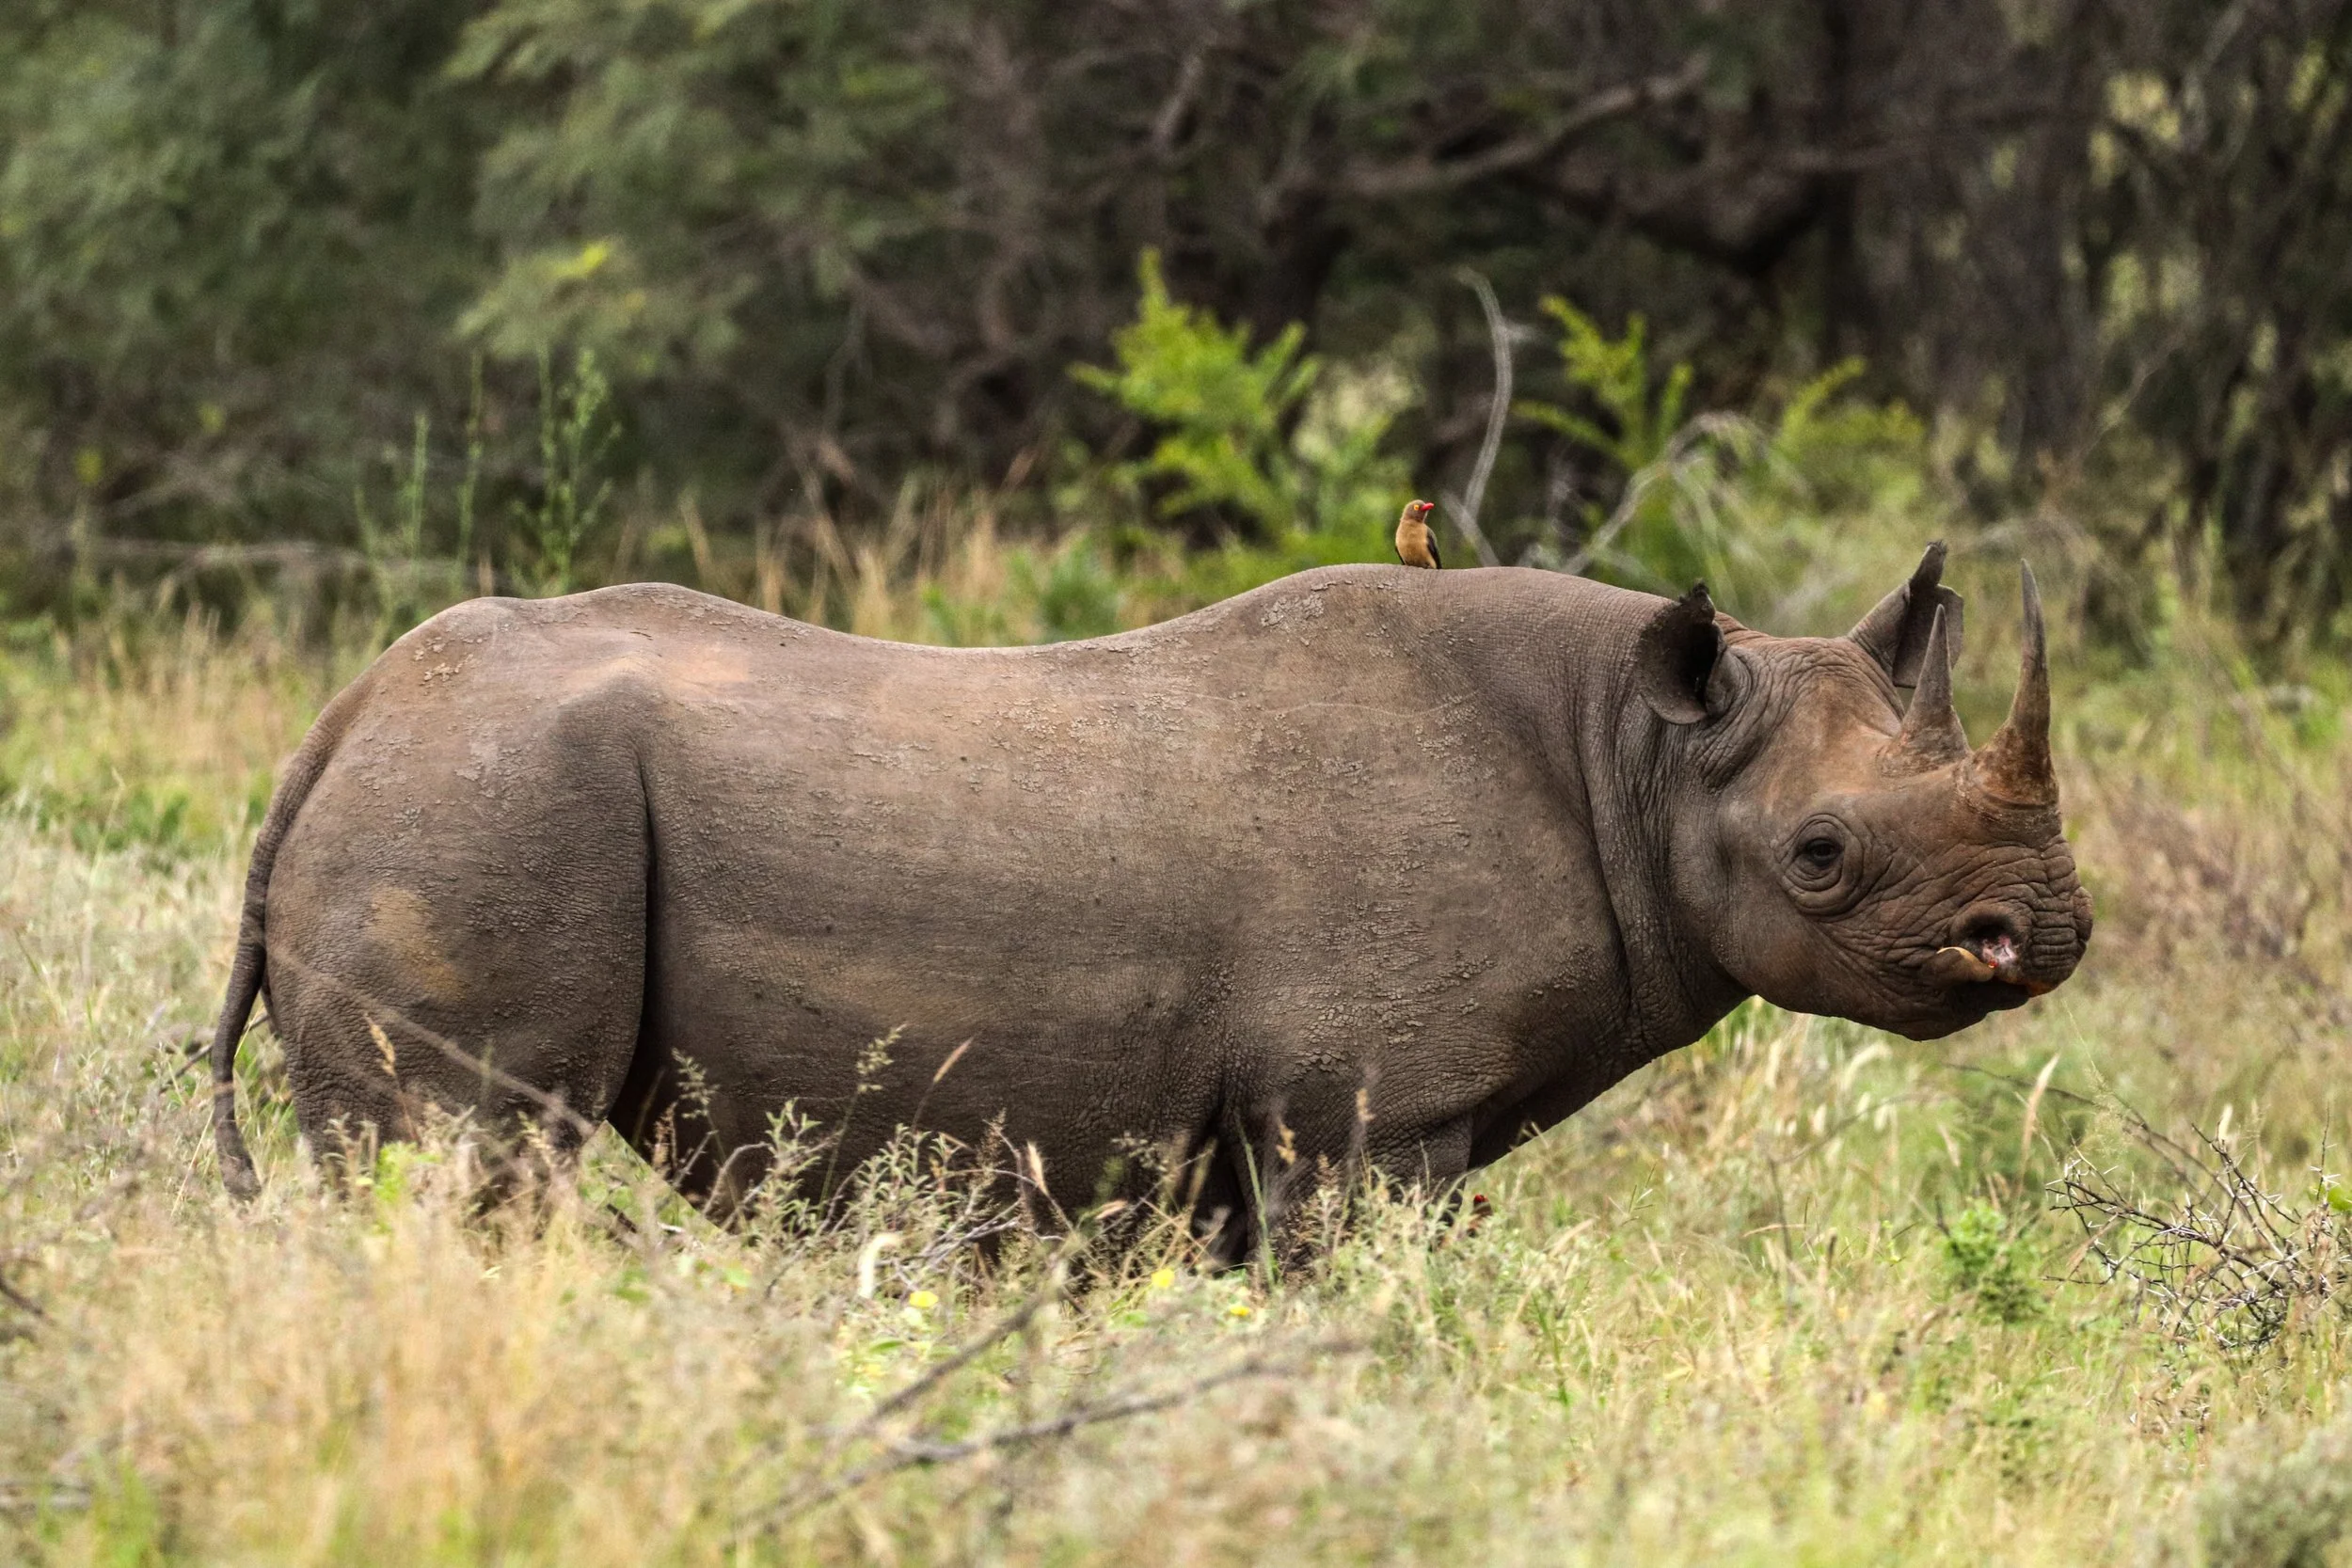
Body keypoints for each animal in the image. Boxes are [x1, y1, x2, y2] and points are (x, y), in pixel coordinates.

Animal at [208, 545, 2089, 1247]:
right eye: (1821, 856)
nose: (2046, 933)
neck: (1639, 752)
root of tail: (333, 728)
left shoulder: (1284, 1121)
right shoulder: (1370, 1112)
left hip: (457, 788)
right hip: (486, 802)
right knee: (471, 1166)